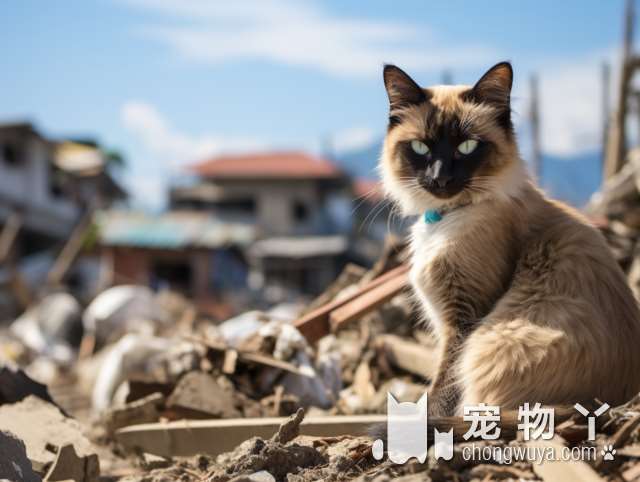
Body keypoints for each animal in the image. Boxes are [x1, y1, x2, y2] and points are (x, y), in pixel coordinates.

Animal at [380, 59, 640, 414]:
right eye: (421, 147)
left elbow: (441, 392)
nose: (440, 179)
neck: (448, 216)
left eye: (467, 147)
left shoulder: (463, 319)